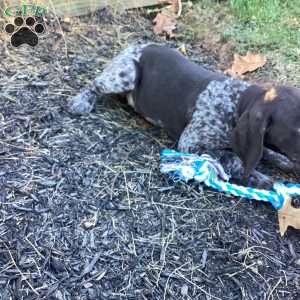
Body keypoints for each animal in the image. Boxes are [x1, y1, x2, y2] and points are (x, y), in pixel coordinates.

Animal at [69, 43, 300, 189]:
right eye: (296, 130)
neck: (236, 101)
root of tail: (136, 45)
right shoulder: (189, 143)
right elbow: (230, 157)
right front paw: (259, 178)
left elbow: (263, 151)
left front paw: (285, 162)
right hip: (124, 75)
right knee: (95, 83)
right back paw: (81, 101)